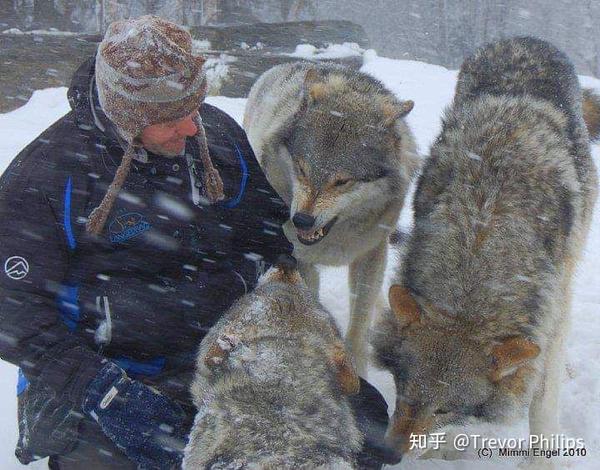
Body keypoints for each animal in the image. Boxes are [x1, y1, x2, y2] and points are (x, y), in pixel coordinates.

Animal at [243, 61, 418, 374]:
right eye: (301, 169)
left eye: (342, 181)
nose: (301, 220)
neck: (334, 239)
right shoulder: (300, 260)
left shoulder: (372, 253)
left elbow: (359, 322)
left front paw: (357, 369)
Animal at [372, 35, 596, 464]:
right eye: (403, 388)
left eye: (445, 408)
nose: (388, 455)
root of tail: (526, 39)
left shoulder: (548, 316)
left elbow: (542, 403)